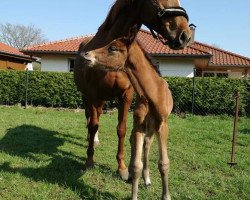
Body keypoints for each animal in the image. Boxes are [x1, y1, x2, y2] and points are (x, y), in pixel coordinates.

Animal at [82, 33, 174, 200]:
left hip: (153, 127)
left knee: (147, 144)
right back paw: (136, 175)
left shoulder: (163, 125)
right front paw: (133, 188)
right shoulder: (139, 125)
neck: (152, 95)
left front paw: (166, 196)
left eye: (112, 48)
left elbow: (164, 163)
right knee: (137, 142)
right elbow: (137, 164)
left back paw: (147, 179)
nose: (86, 55)